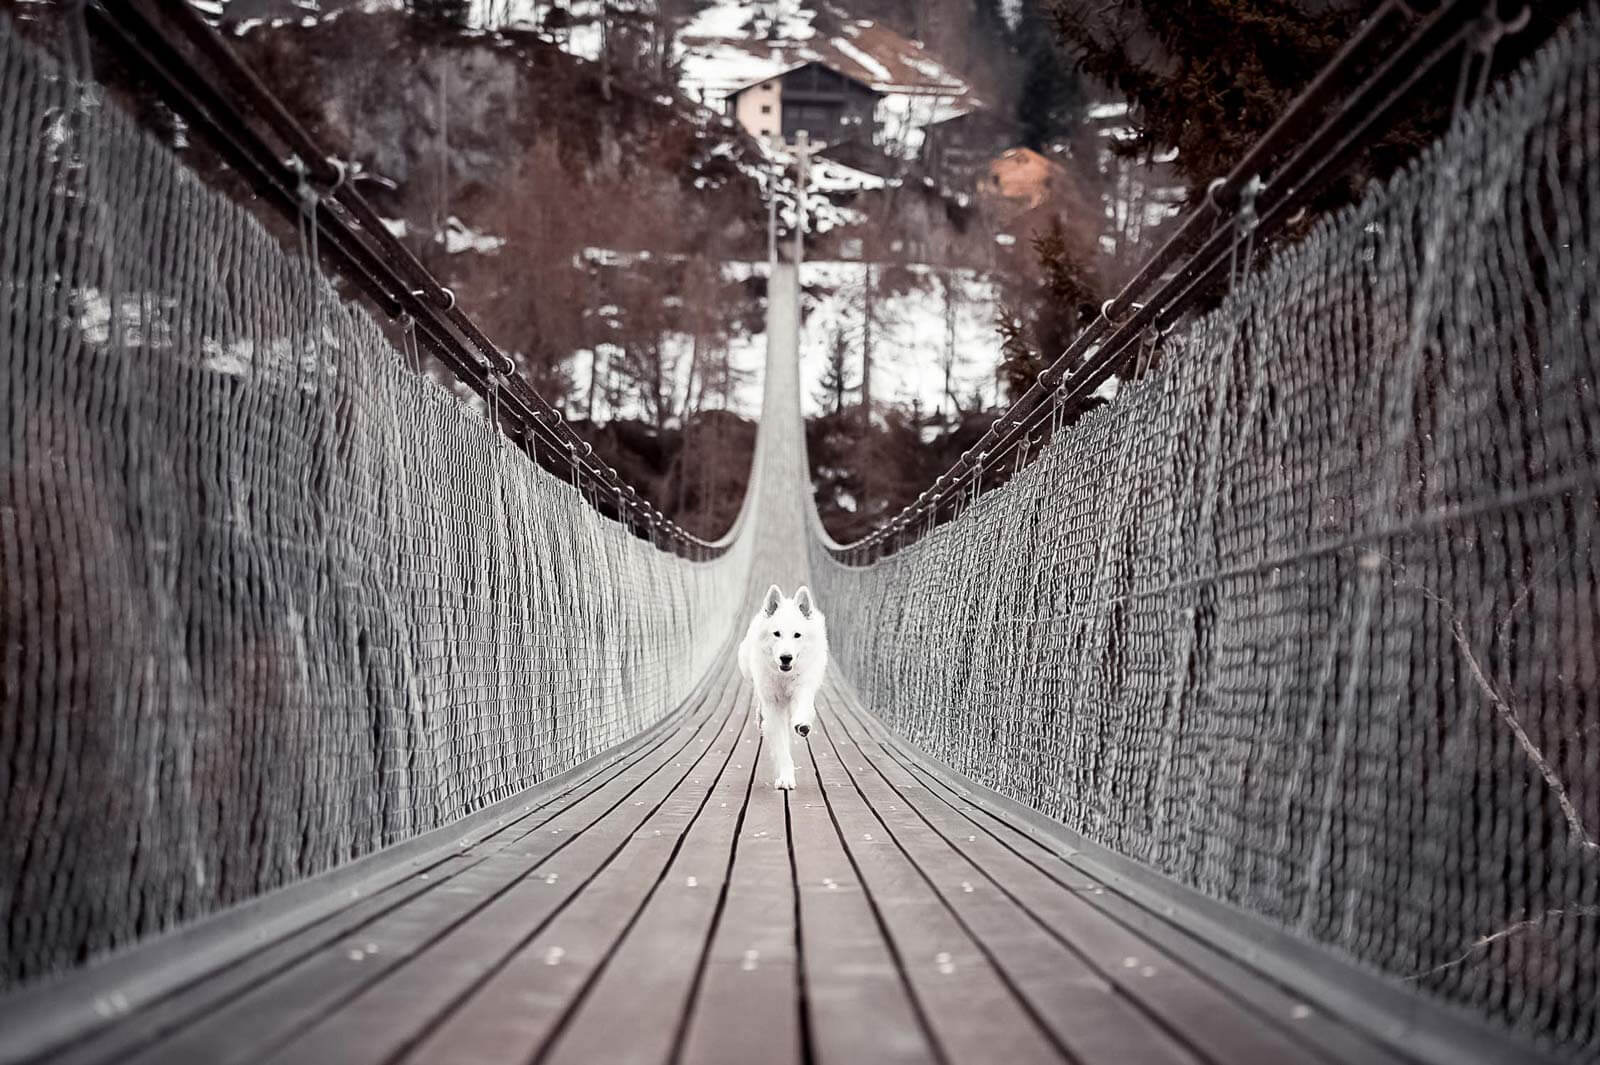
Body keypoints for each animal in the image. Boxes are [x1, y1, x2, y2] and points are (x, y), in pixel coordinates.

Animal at [739, 585, 832, 783]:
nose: (786, 657)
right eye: (777, 634)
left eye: (797, 635)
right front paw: (786, 778)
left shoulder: (803, 688)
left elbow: (803, 708)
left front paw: (802, 724)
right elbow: (782, 747)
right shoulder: (774, 706)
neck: (784, 677)